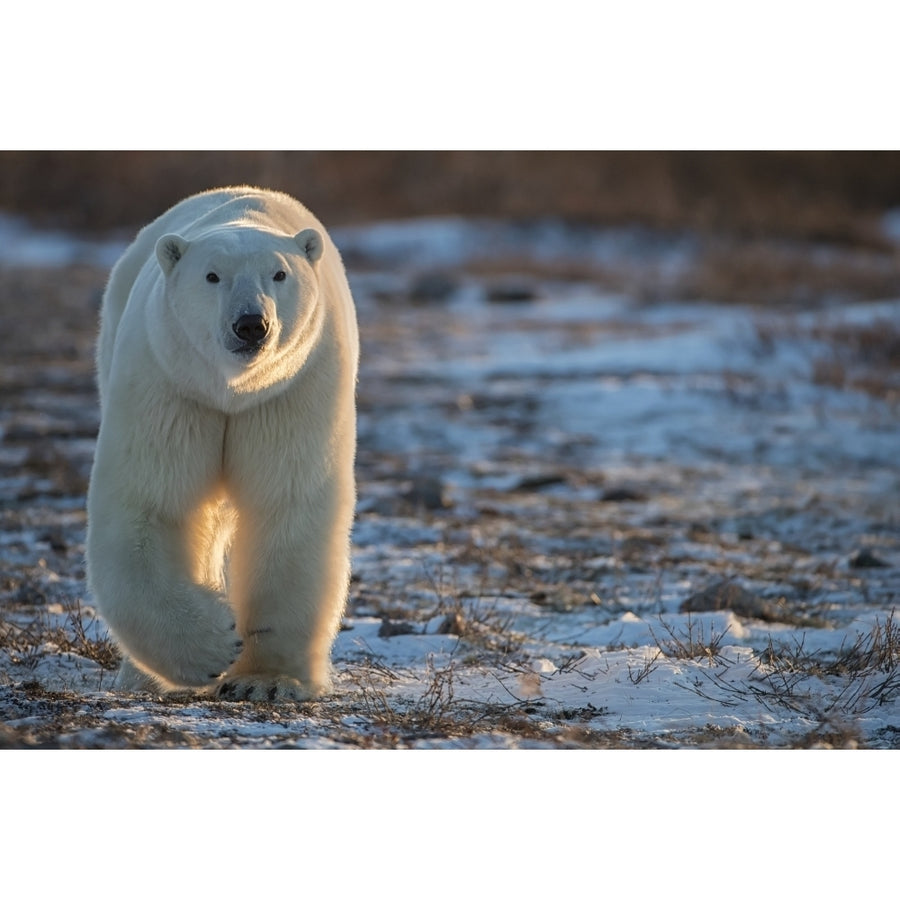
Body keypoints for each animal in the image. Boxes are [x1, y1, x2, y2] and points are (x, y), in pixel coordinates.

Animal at [85, 186, 358, 700]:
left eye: (279, 274)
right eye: (212, 276)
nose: (251, 324)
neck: (232, 389)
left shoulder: (290, 388)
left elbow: (287, 504)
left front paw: (267, 681)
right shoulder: (172, 384)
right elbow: (151, 501)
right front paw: (212, 644)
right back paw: (140, 678)